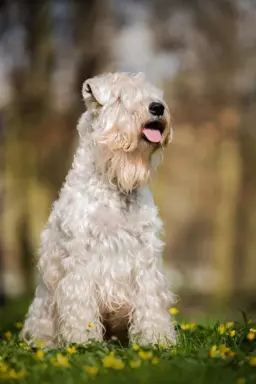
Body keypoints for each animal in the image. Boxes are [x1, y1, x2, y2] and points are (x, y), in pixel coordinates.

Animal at [20, 71, 177, 348]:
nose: (157, 107)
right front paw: (82, 340)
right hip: (43, 308)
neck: (114, 184)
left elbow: (150, 300)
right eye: (119, 97)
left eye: (154, 94)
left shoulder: (146, 255)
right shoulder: (80, 258)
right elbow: (80, 303)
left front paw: (156, 338)